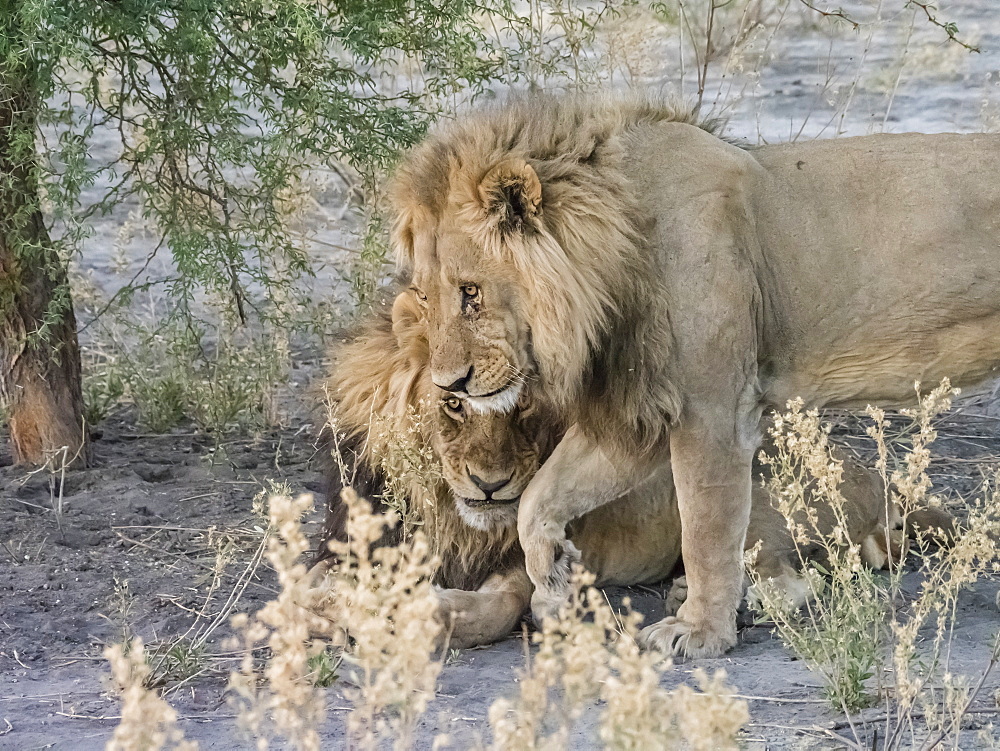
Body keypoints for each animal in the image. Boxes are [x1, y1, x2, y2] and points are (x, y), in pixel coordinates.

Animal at [320, 290, 952, 648]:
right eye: (453, 404)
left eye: (524, 408)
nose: (491, 485)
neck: (446, 507)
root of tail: (875, 479)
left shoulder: (531, 558)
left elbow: (498, 608)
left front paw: (417, 612)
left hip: (754, 496)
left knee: (801, 579)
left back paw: (721, 606)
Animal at [388, 94, 1000, 656]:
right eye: (425, 295)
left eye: (471, 292)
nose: (449, 383)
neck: (621, 260)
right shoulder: (642, 412)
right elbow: (539, 498)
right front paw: (557, 580)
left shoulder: (712, 411)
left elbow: (705, 526)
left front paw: (700, 632)